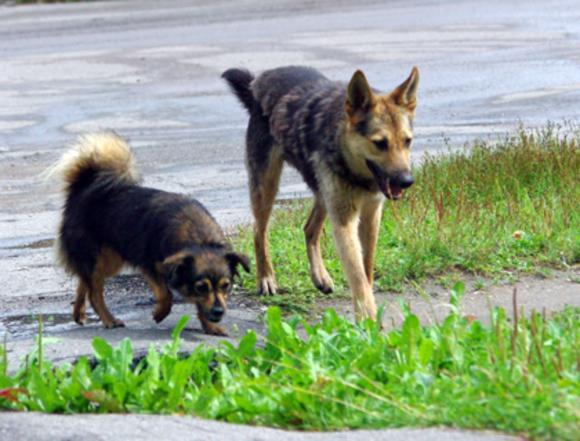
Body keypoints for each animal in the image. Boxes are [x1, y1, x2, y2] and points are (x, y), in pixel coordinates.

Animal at [51, 131, 248, 334]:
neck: (200, 239)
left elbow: (200, 306)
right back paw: (109, 320)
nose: (218, 312)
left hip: (110, 261)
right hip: (95, 256)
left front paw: (209, 326)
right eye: (201, 287)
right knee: (94, 293)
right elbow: (166, 294)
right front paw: (160, 313)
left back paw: (78, 312)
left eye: (226, 286)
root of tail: (82, 187)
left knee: (84, 281)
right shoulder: (150, 266)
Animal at [222, 64, 416, 320]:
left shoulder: (371, 215)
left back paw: (319, 275)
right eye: (380, 143)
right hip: (267, 187)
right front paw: (367, 318)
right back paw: (265, 277)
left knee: (309, 229)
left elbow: (366, 269)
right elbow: (357, 276)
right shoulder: (344, 222)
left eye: (407, 141)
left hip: (324, 193)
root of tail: (259, 82)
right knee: (259, 230)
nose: (407, 181)